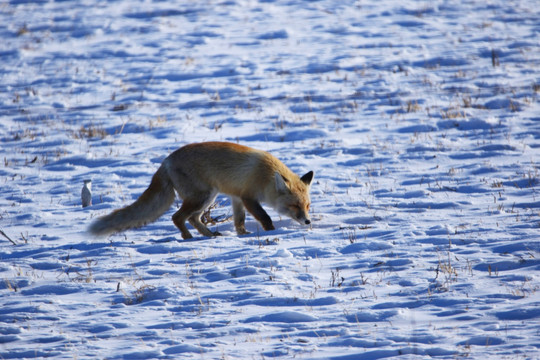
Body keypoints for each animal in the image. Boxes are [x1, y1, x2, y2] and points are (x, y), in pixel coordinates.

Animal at [88, 141, 314, 239]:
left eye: (307, 206)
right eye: (294, 206)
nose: (307, 221)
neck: (265, 175)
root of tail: (166, 161)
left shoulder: (236, 197)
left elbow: (239, 220)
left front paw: (242, 234)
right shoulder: (248, 197)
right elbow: (265, 217)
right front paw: (270, 232)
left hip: (206, 198)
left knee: (192, 218)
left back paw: (208, 234)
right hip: (203, 196)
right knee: (178, 217)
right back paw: (188, 238)